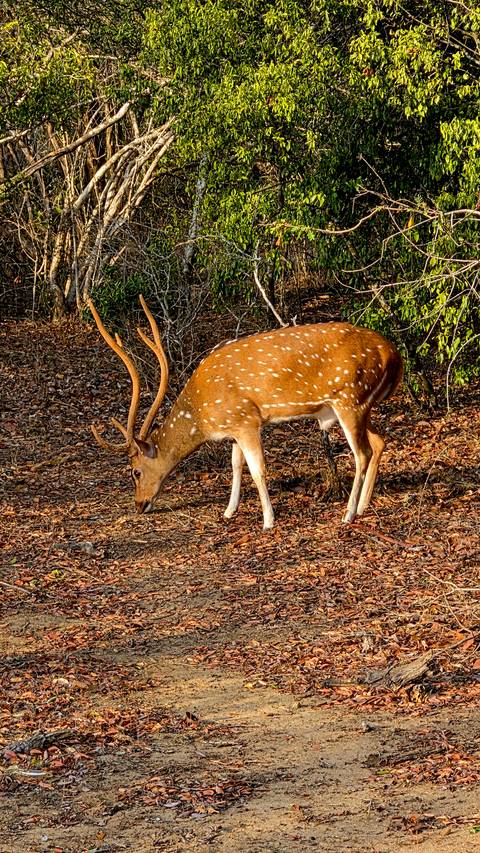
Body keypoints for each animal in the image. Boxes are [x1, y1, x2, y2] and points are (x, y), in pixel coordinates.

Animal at [88, 296, 403, 529]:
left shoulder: (247, 420)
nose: (139, 505)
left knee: (362, 452)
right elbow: (236, 465)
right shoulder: (235, 426)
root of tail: (394, 355)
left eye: (135, 471)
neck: (202, 414)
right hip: (361, 405)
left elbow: (257, 468)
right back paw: (363, 505)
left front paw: (268, 521)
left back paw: (348, 513)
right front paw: (229, 510)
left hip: (350, 398)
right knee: (379, 442)